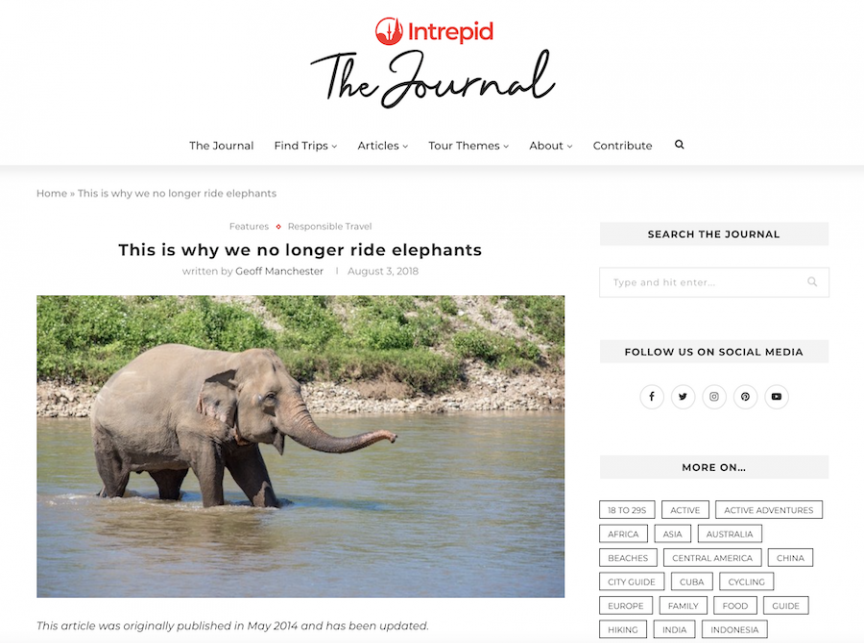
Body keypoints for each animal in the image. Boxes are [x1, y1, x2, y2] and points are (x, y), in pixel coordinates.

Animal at [90, 344, 397, 508]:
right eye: (270, 397)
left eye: (299, 388)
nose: (394, 436)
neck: (232, 360)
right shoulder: (192, 423)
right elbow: (210, 470)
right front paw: (215, 508)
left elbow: (253, 471)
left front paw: (270, 506)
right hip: (104, 435)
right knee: (116, 478)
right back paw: (109, 497)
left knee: (169, 482)